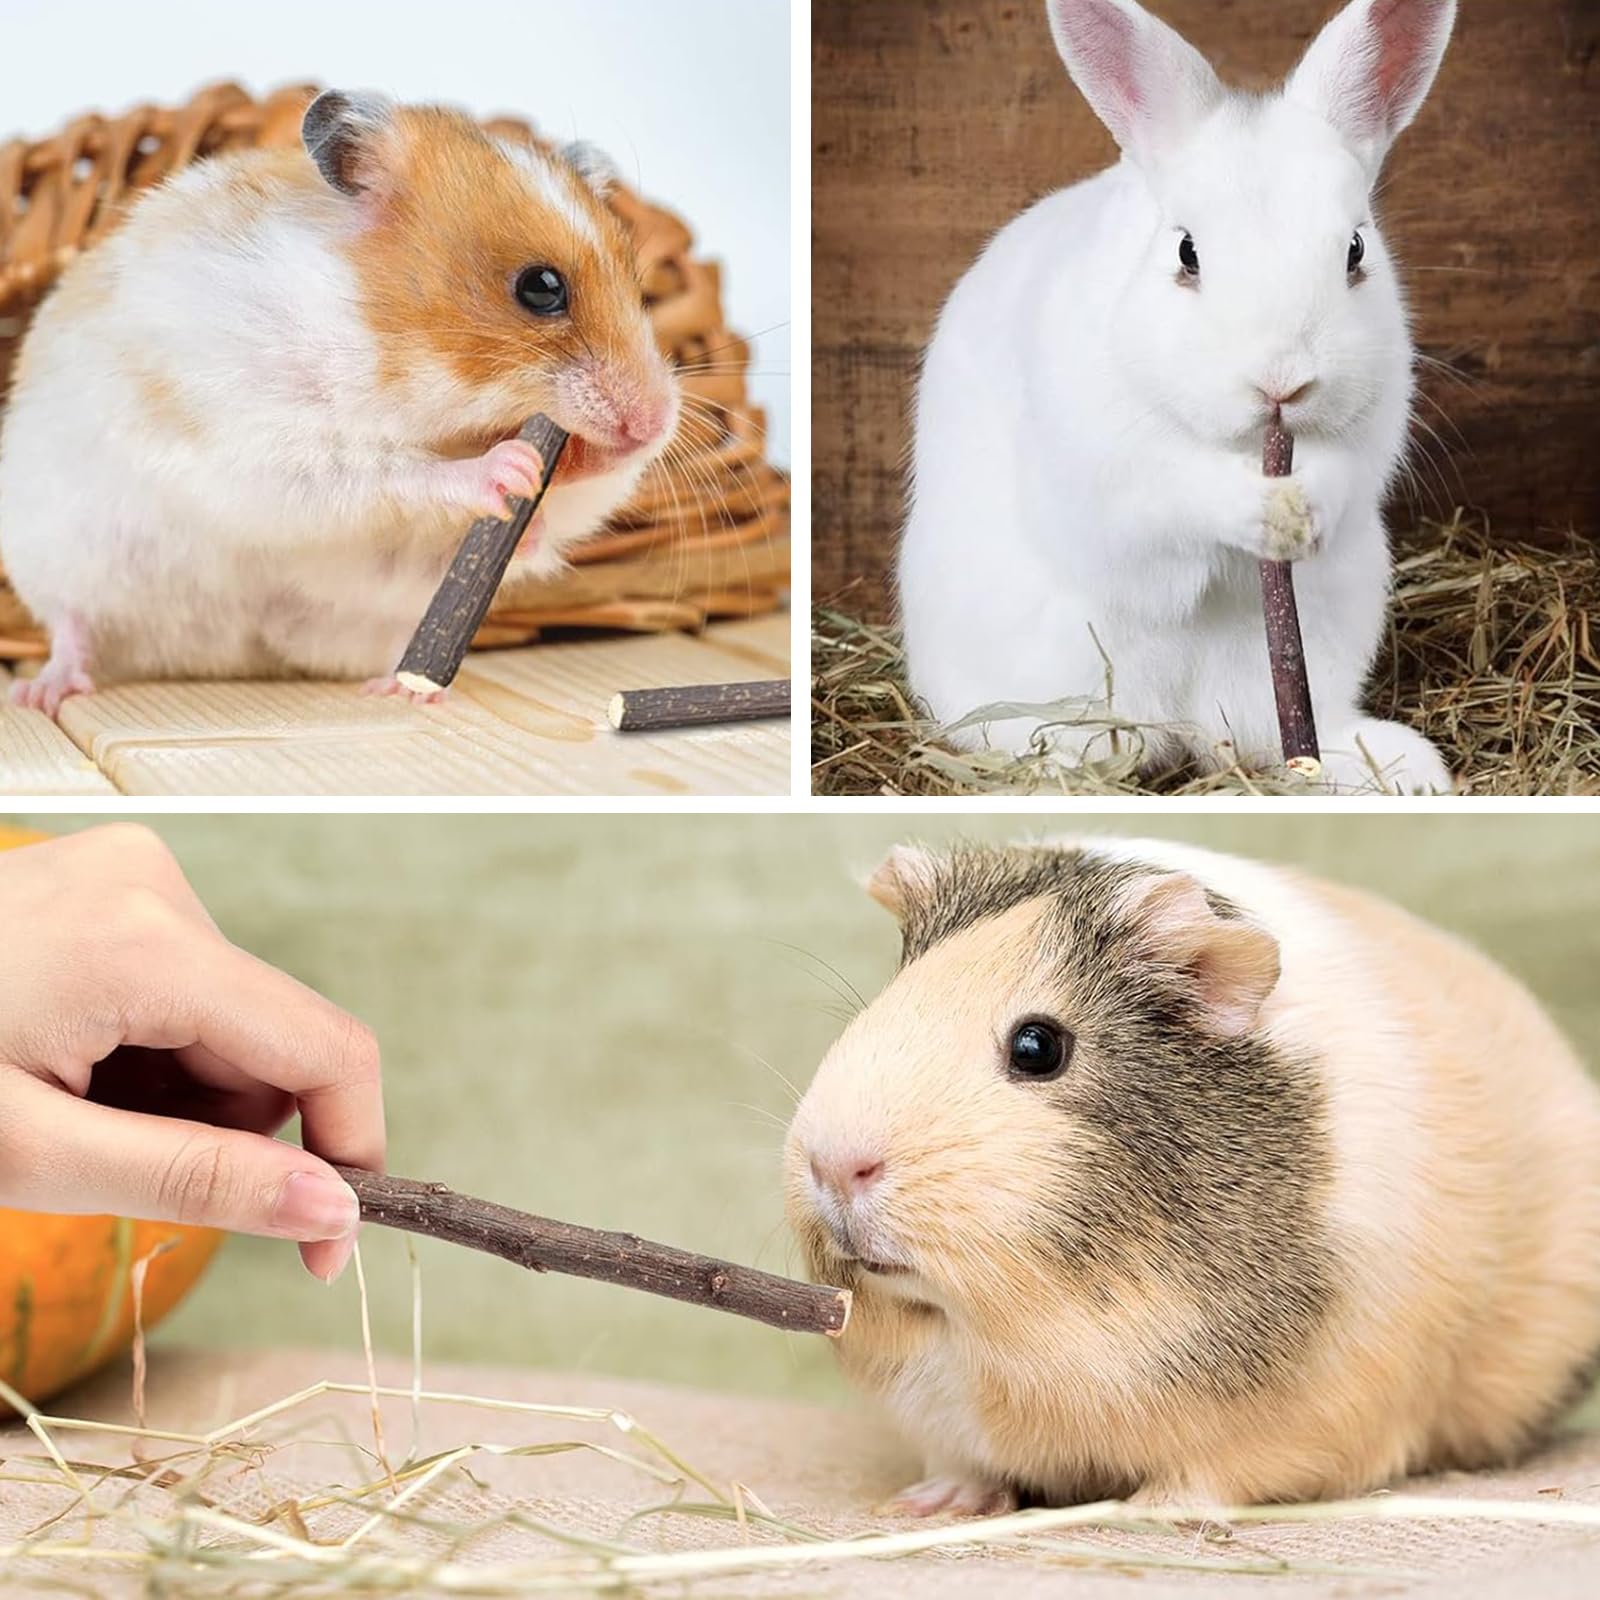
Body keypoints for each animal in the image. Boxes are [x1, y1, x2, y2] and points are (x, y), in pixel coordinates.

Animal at [0, 90, 679, 713]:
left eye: (638, 286)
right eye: (540, 288)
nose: (652, 426)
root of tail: (214, 656)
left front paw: (539, 505)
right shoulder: (266, 439)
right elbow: (389, 471)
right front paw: (511, 467)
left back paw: (401, 690)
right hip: (59, 556)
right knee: (73, 625)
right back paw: (42, 693)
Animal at [785, 837, 1600, 1513]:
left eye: (1037, 1046)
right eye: (886, 1003)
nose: (835, 1164)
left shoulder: (1301, 1423)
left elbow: (1208, 1476)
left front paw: (1147, 1513)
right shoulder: (946, 1420)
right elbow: (963, 1464)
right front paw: (923, 1506)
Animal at [898, 0, 1460, 794]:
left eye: (1355, 250)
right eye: (1186, 253)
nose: (1282, 379)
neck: (1244, 448)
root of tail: (1185, 719)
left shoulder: (1367, 439)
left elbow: (1341, 476)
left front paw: (1305, 510)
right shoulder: (1114, 477)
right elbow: (1174, 500)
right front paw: (1259, 512)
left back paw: (1397, 765)